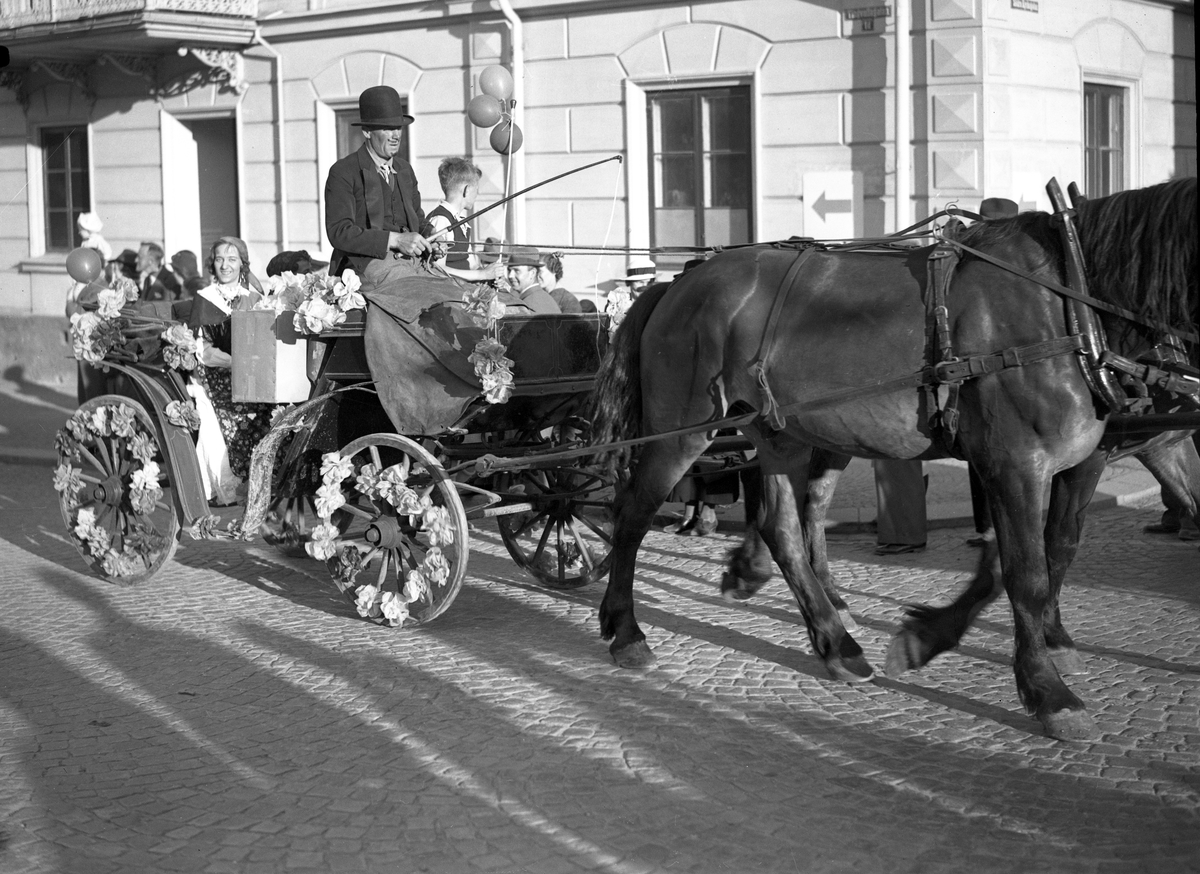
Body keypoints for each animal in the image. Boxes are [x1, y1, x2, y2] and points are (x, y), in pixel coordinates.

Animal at [585, 181, 1195, 739]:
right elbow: (1028, 572)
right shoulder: (1019, 465)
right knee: (633, 514)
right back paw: (626, 630)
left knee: (784, 527)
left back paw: (833, 639)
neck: (1067, 303)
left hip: (780, 433)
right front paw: (1047, 690)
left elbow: (1032, 555)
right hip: (680, 430)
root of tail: (678, 282)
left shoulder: (1045, 466)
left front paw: (938, 636)